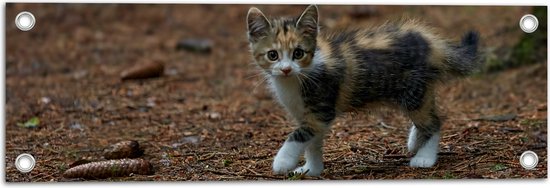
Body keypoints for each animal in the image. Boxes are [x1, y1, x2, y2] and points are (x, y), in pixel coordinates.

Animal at [248, 5, 480, 177]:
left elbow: (298, 135)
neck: (297, 78)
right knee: (426, 118)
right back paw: (415, 141)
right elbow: (312, 143)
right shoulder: (307, 115)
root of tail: (432, 42)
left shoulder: (321, 110)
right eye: (273, 55)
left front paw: (282, 161)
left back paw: (425, 158)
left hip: (414, 91)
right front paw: (311, 170)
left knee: (433, 122)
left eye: (298, 53)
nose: (286, 69)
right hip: (419, 91)